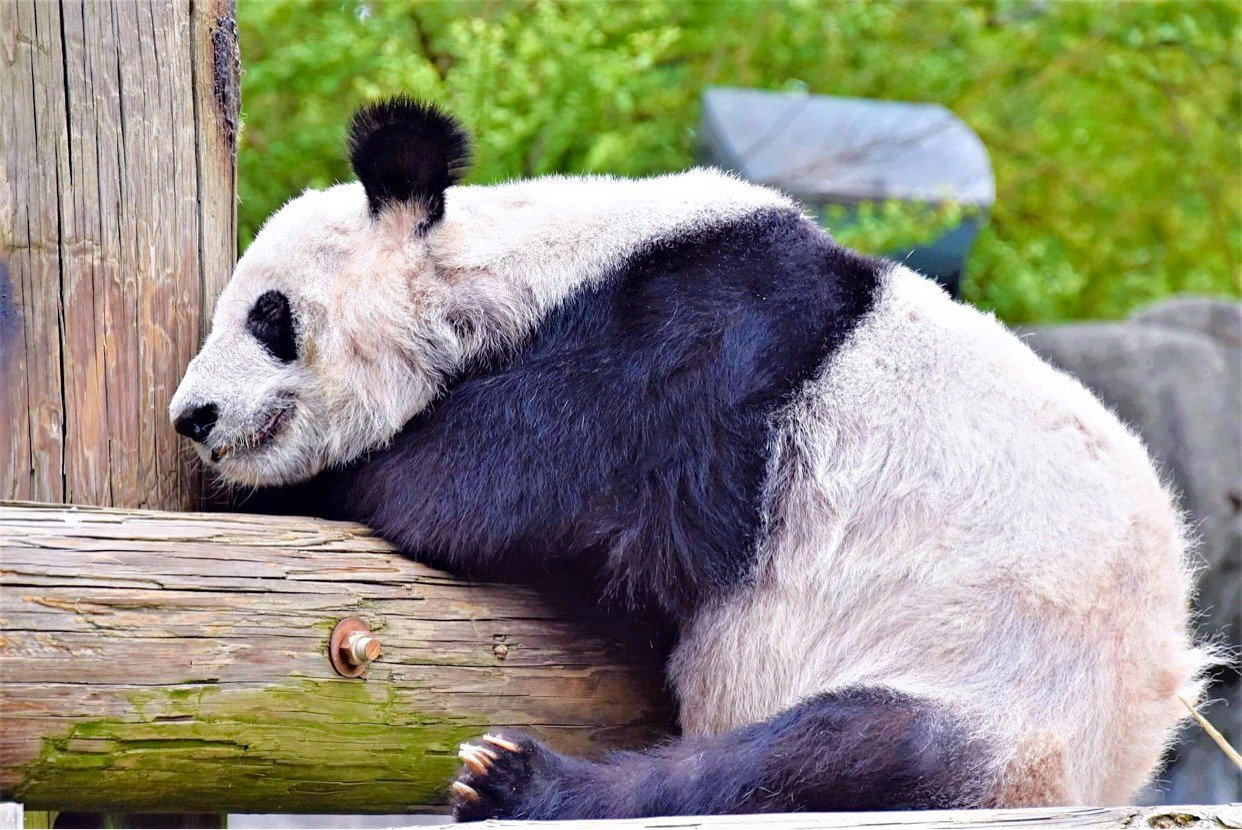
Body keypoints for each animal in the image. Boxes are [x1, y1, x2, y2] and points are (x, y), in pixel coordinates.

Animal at [170, 95, 1207, 815]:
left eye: (268, 315)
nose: (193, 416)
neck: (524, 265)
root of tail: (1112, 777)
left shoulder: (685, 346)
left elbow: (487, 487)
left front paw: (306, 486)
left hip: (1003, 696)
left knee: (826, 761)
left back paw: (520, 784)